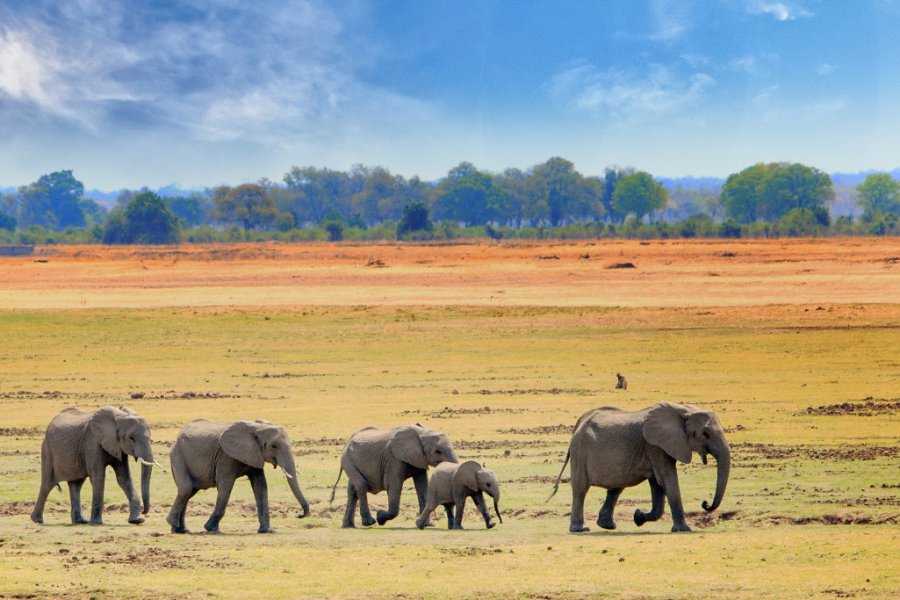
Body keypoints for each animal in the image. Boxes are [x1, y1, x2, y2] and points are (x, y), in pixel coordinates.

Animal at [29, 406, 160, 528]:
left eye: (150, 437)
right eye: (131, 438)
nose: (144, 511)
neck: (120, 417)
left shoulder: (117, 447)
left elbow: (124, 478)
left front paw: (137, 520)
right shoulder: (92, 442)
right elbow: (98, 477)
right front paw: (96, 523)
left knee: (76, 485)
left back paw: (80, 521)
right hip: (47, 450)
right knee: (47, 484)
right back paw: (37, 520)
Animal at [165, 418, 310, 536]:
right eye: (274, 446)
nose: (299, 515)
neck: (257, 428)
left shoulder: (254, 455)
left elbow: (261, 486)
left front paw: (267, 531)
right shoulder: (226, 456)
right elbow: (226, 486)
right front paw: (212, 529)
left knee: (189, 491)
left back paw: (181, 530)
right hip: (177, 456)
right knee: (186, 489)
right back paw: (174, 525)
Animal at [328, 424, 458, 528]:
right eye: (438, 451)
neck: (421, 433)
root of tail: (348, 442)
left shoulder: (419, 458)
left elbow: (422, 487)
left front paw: (428, 525)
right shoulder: (393, 458)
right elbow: (393, 485)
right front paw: (380, 517)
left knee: (352, 490)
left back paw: (348, 526)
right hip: (348, 459)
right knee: (361, 485)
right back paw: (369, 522)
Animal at [548, 400, 732, 532]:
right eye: (705, 434)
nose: (705, 504)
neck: (682, 410)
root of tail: (579, 423)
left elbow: (658, 483)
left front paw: (638, 517)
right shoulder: (654, 445)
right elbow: (667, 478)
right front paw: (684, 530)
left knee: (616, 487)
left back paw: (607, 526)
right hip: (580, 451)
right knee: (581, 489)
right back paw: (580, 529)